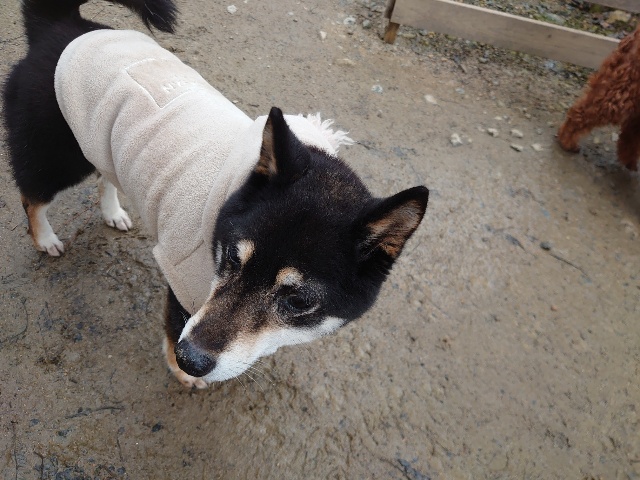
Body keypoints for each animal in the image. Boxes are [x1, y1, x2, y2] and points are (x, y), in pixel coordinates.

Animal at [3, 0, 429, 389]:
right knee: (32, 196)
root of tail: (64, 26)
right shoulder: (183, 280)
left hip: (98, 143)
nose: (189, 359)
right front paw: (180, 372)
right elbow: (176, 322)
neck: (236, 189)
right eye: (231, 258)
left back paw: (112, 211)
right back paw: (46, 239)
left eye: (299, 301)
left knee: (105, 177)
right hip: (56, 158)